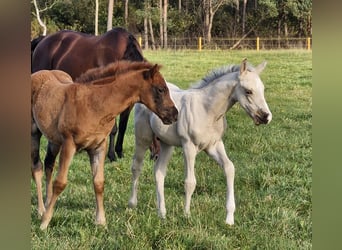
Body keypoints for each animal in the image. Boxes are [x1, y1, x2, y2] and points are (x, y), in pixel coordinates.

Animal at [31, 60, 179, 229]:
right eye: (161, 89)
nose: (174, 115)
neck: (94, 104)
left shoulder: (99, 146)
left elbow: (99, 182)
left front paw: (101, 221)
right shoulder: (69, 143)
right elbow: (60, 182)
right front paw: (45, 222)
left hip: (54, 140)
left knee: (49, 164)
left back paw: (47, 202)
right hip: (35, 133)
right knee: (37, 167)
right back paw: (41, 210)